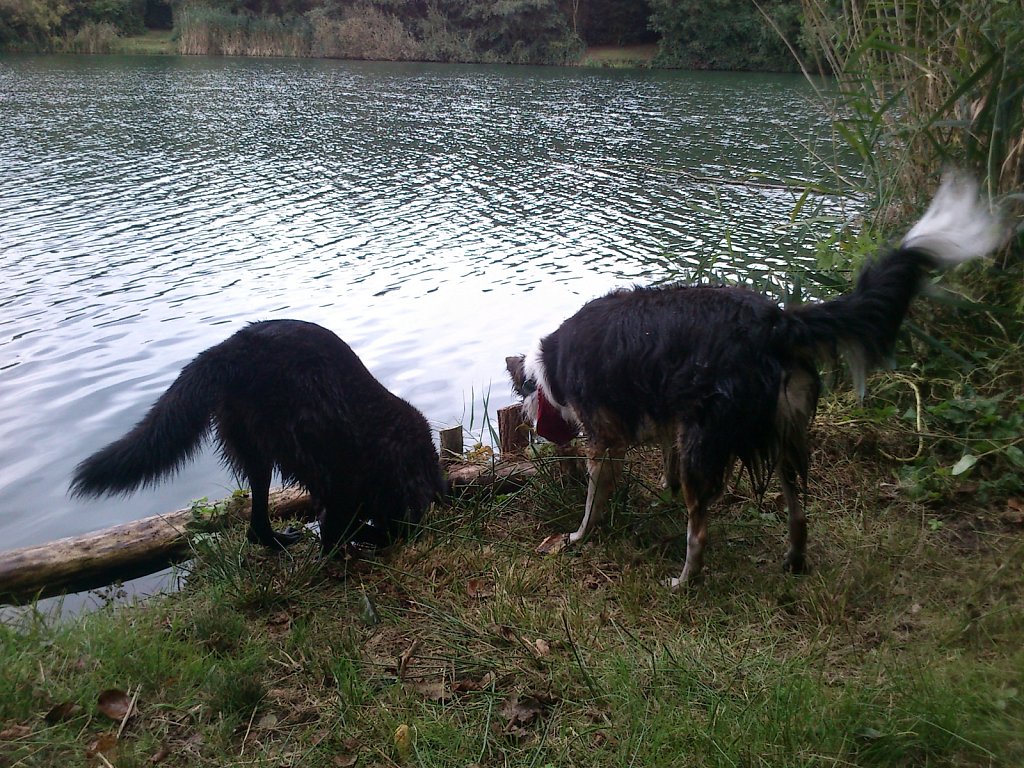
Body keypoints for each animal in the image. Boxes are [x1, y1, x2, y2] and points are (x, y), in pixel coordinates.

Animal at [71, 319, 440, 561]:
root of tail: (234, 349)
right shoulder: (345, 488)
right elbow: (337, 528)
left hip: (253, 448)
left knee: (257, 524)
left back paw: (278, 541)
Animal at [507, 174, 1003, 585]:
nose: (531, 421)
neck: (549, 367)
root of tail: (777, 322)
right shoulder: (670, 423)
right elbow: (666, 468)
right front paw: (662, 497)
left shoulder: (606, 440)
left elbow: (595, 499)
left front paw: (578, 537)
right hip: (780, 430)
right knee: (799, 512)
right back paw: (794, 561)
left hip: (710, 434)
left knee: (700, 532)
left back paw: (684, 581)